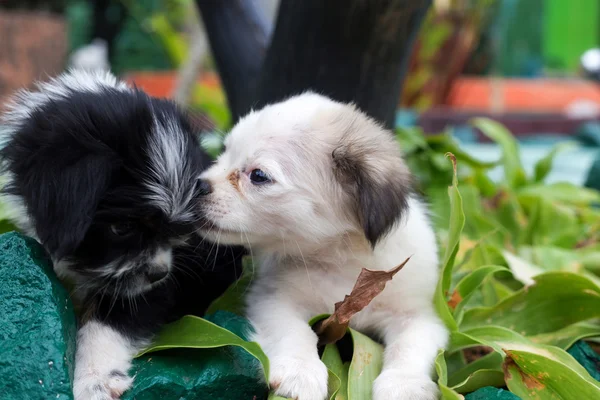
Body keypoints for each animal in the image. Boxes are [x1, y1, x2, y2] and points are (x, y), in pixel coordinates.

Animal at [0, 71, 245, 400]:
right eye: (123, 228)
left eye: (177, 231)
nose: (159, 273)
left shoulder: (164, 284)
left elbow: (112, 319)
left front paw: (95, 379)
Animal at [199, 94, 448, 400]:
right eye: (224, 153)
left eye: (258, 175)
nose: (197, 185)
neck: (345, 262)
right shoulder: (275, 300)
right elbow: (295, 332)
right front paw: (300, 371)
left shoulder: (417, 317)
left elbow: (409, 347)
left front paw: (404, 385)